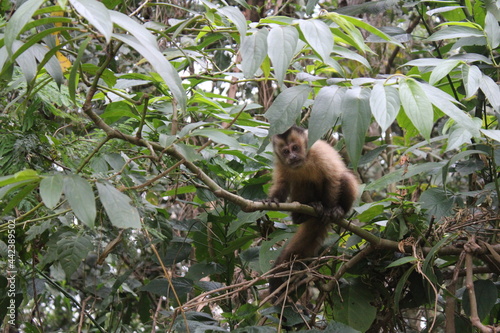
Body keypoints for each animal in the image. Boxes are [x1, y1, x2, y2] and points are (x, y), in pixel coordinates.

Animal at [266, 125, 360, 296]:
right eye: (286, 151)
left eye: (295, 148)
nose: (292, 156)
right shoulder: (281, 163)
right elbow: (282, 183)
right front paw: (273, 200)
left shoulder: (319, 152)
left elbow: (332, 178)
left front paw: (330, 210)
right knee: (302, 183)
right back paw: (303, 214)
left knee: (344, 177)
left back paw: (337, 210)